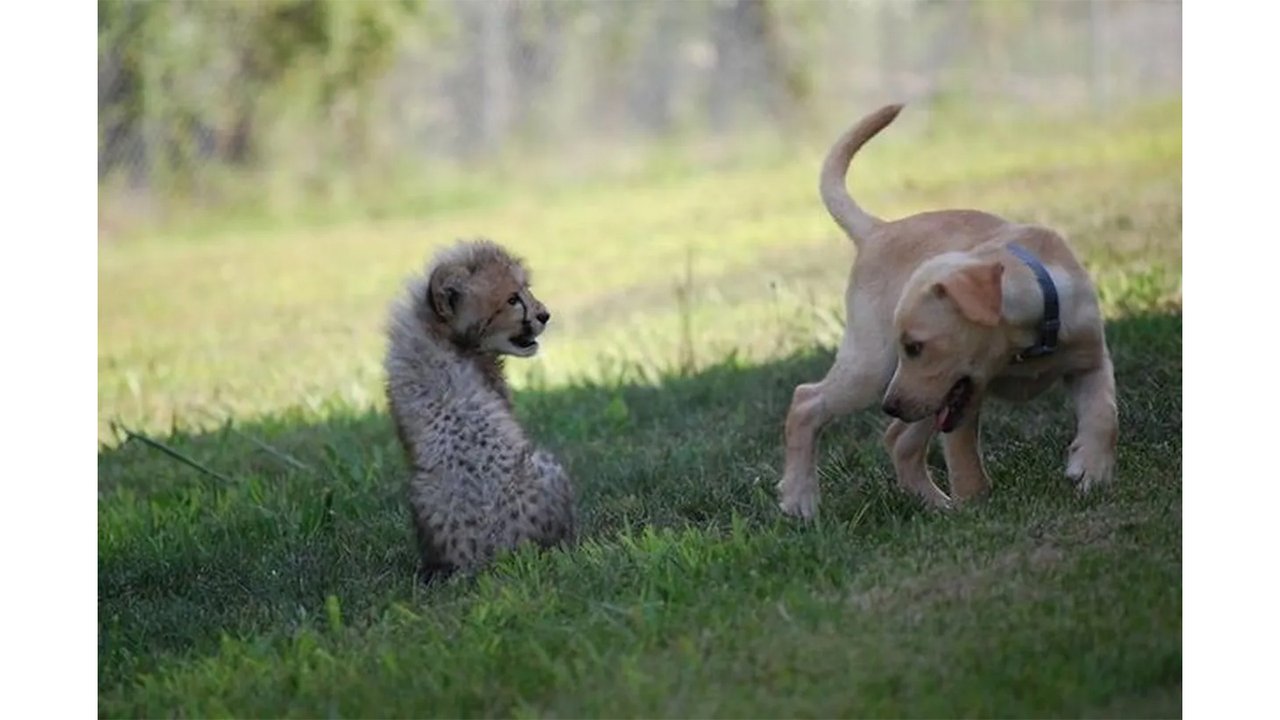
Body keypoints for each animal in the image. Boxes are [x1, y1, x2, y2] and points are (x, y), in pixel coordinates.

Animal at [773, 102, 1116, 515]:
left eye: (915, 346)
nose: (890, 406)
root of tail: (877, 230)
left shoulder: (1089, 359)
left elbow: (1105, 413)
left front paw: (1092, 471)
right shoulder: (962, 401)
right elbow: (965, 461)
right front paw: (976, 510)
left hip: (918, 395)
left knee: (898, 439)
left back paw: (934, 504)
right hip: (874, 368)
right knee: (807, 401)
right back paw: (800, 498)